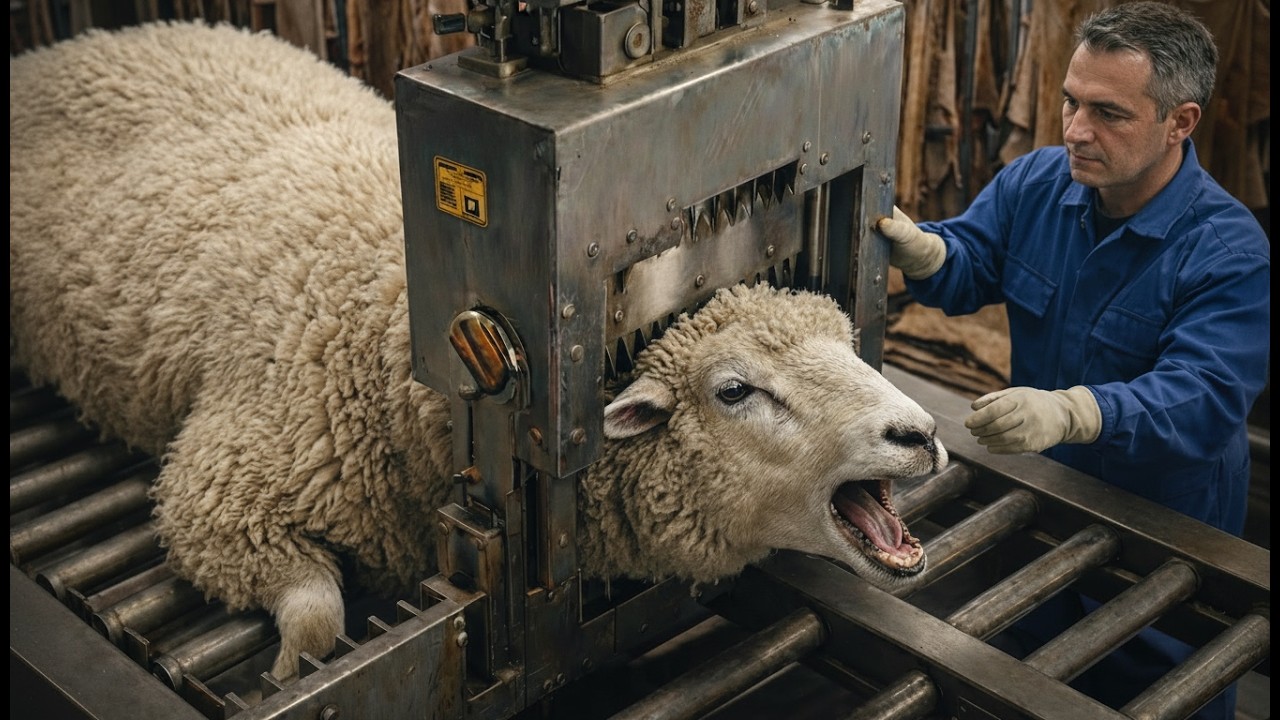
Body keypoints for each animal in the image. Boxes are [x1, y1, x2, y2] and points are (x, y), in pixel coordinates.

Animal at [9, 21, 948, 681]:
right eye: (736, 391)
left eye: (846, 336)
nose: (922, 436)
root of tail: (75, 45)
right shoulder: (222, 488)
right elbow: (315, 614)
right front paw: (291, 665)